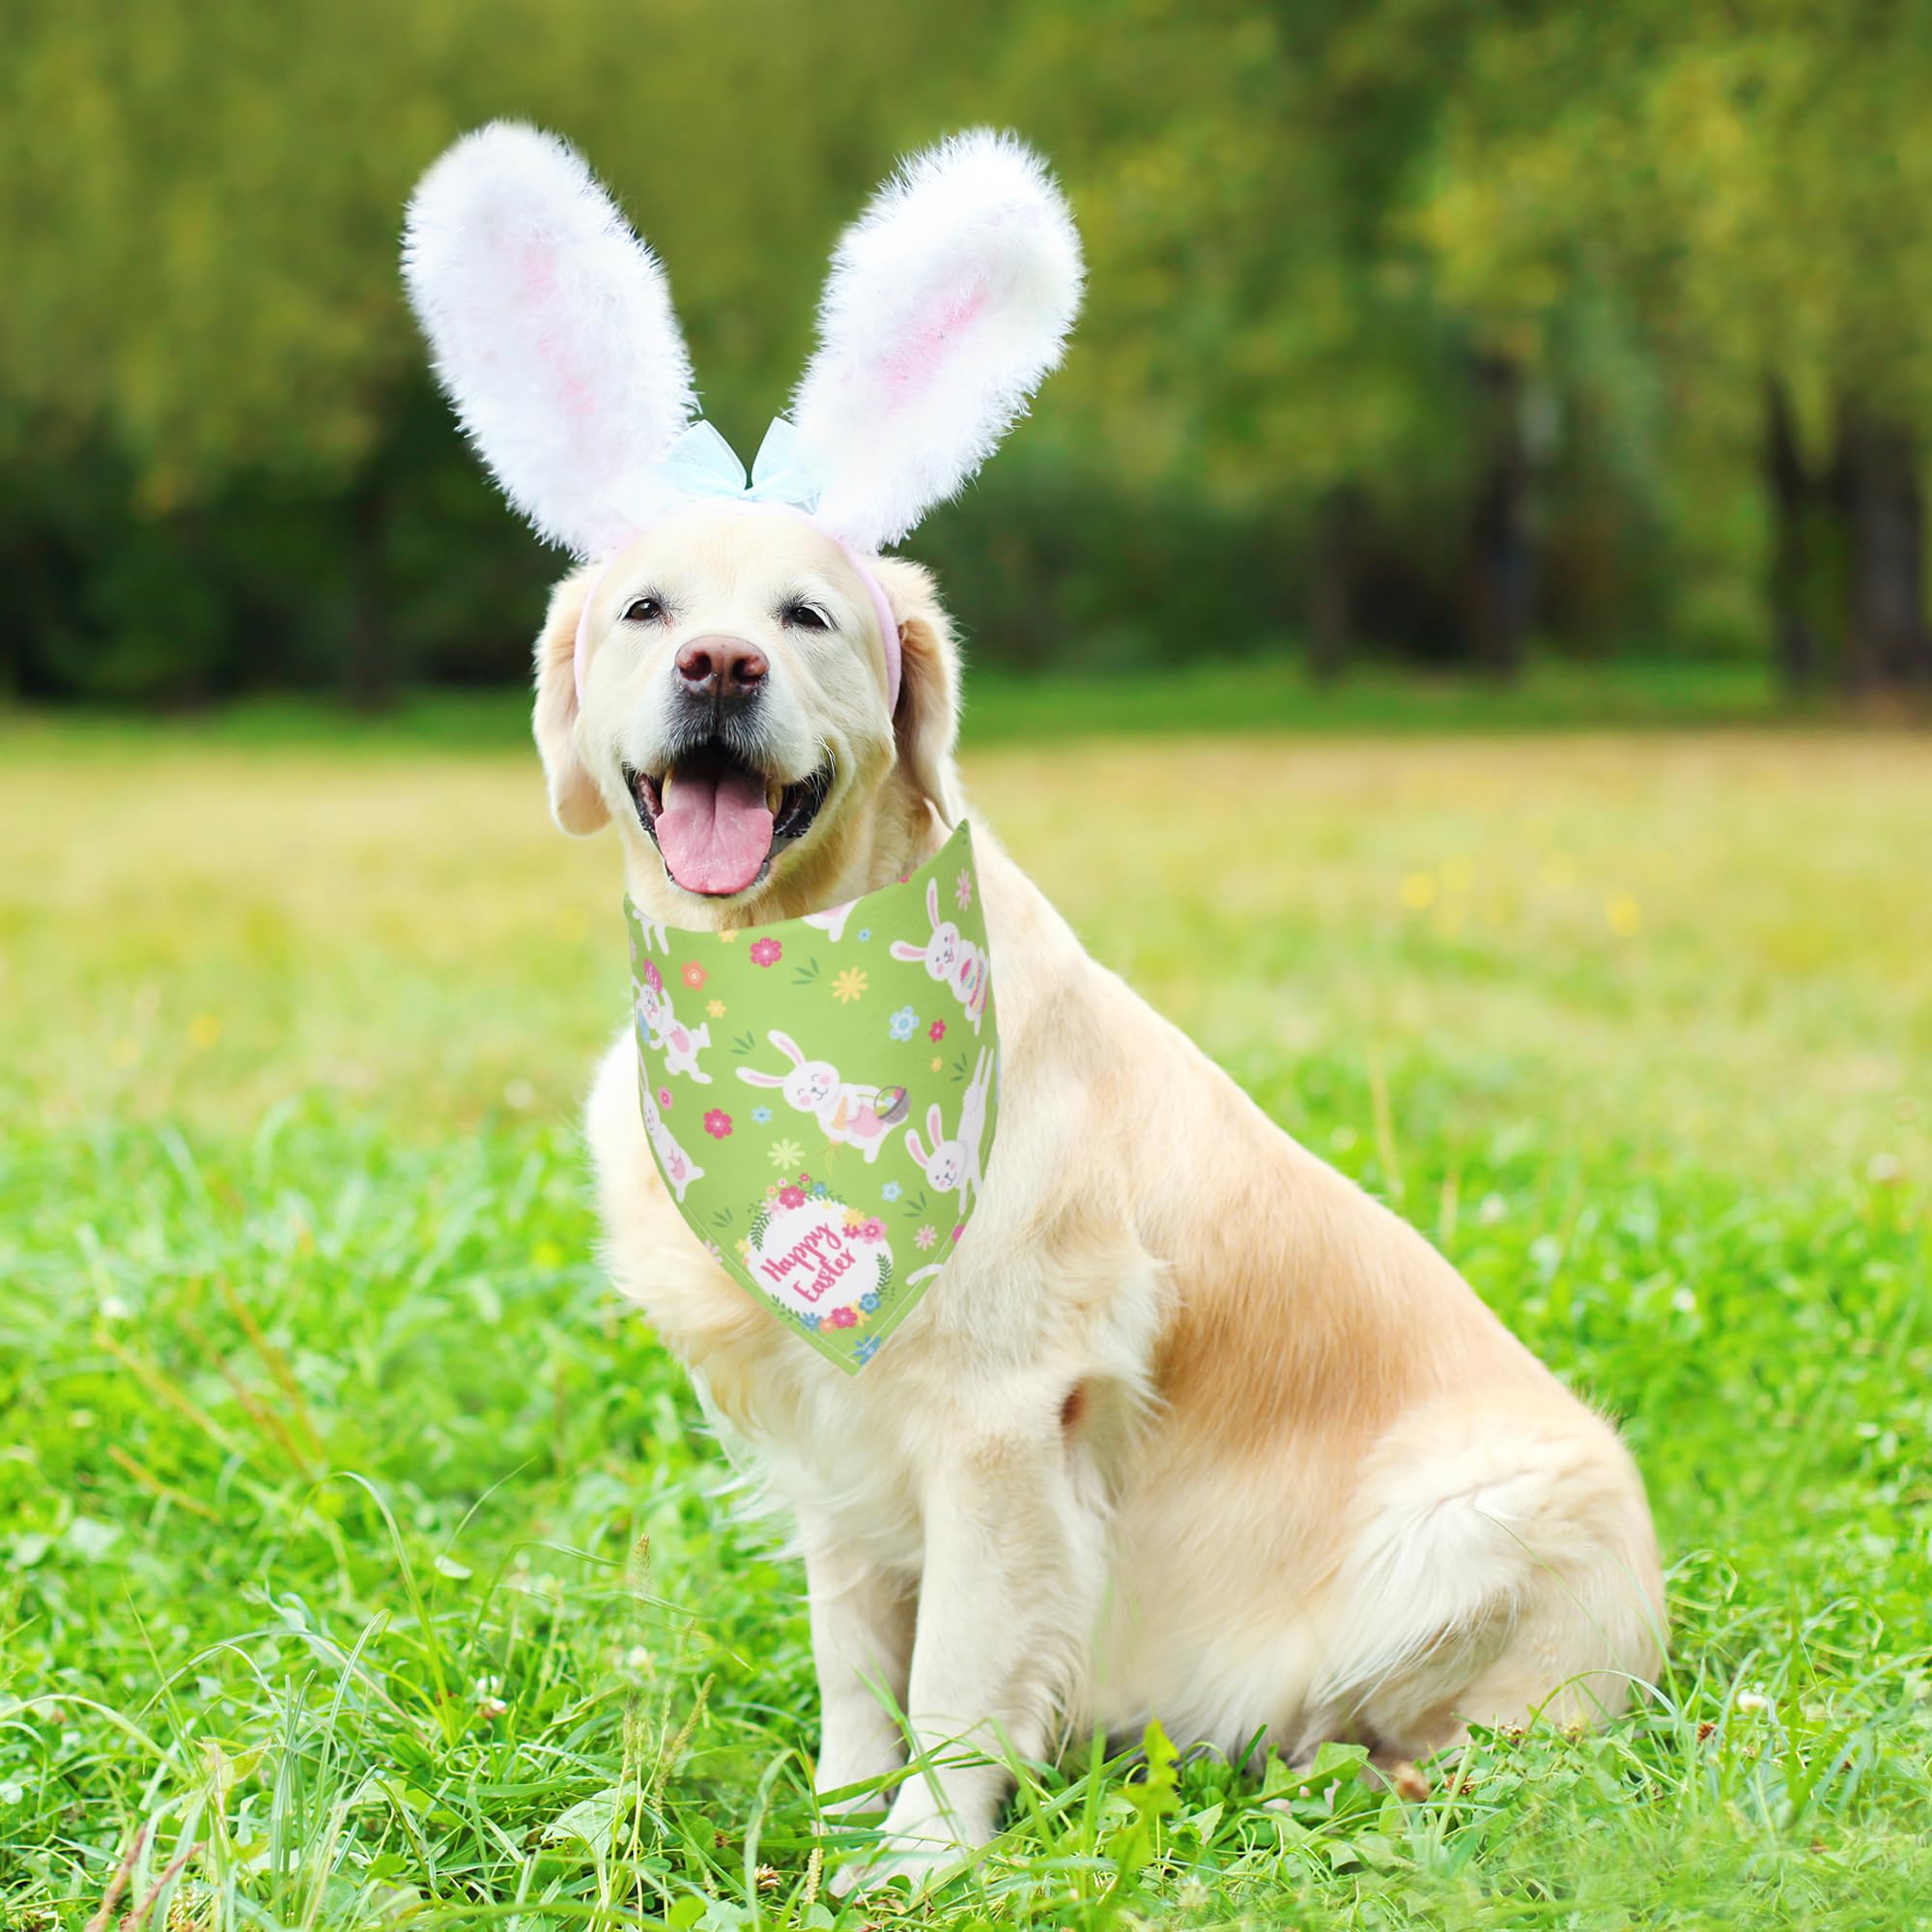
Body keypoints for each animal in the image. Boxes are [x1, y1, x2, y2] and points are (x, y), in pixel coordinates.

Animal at [736, 1029, 891, 1160]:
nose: (814, 1088)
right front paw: (845, 1133)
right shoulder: (822, 1118)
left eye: (815, 1077)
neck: (832, 1101)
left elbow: (863, 1089)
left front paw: (878, 1095)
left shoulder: (847, 1088)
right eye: (801, 1092)